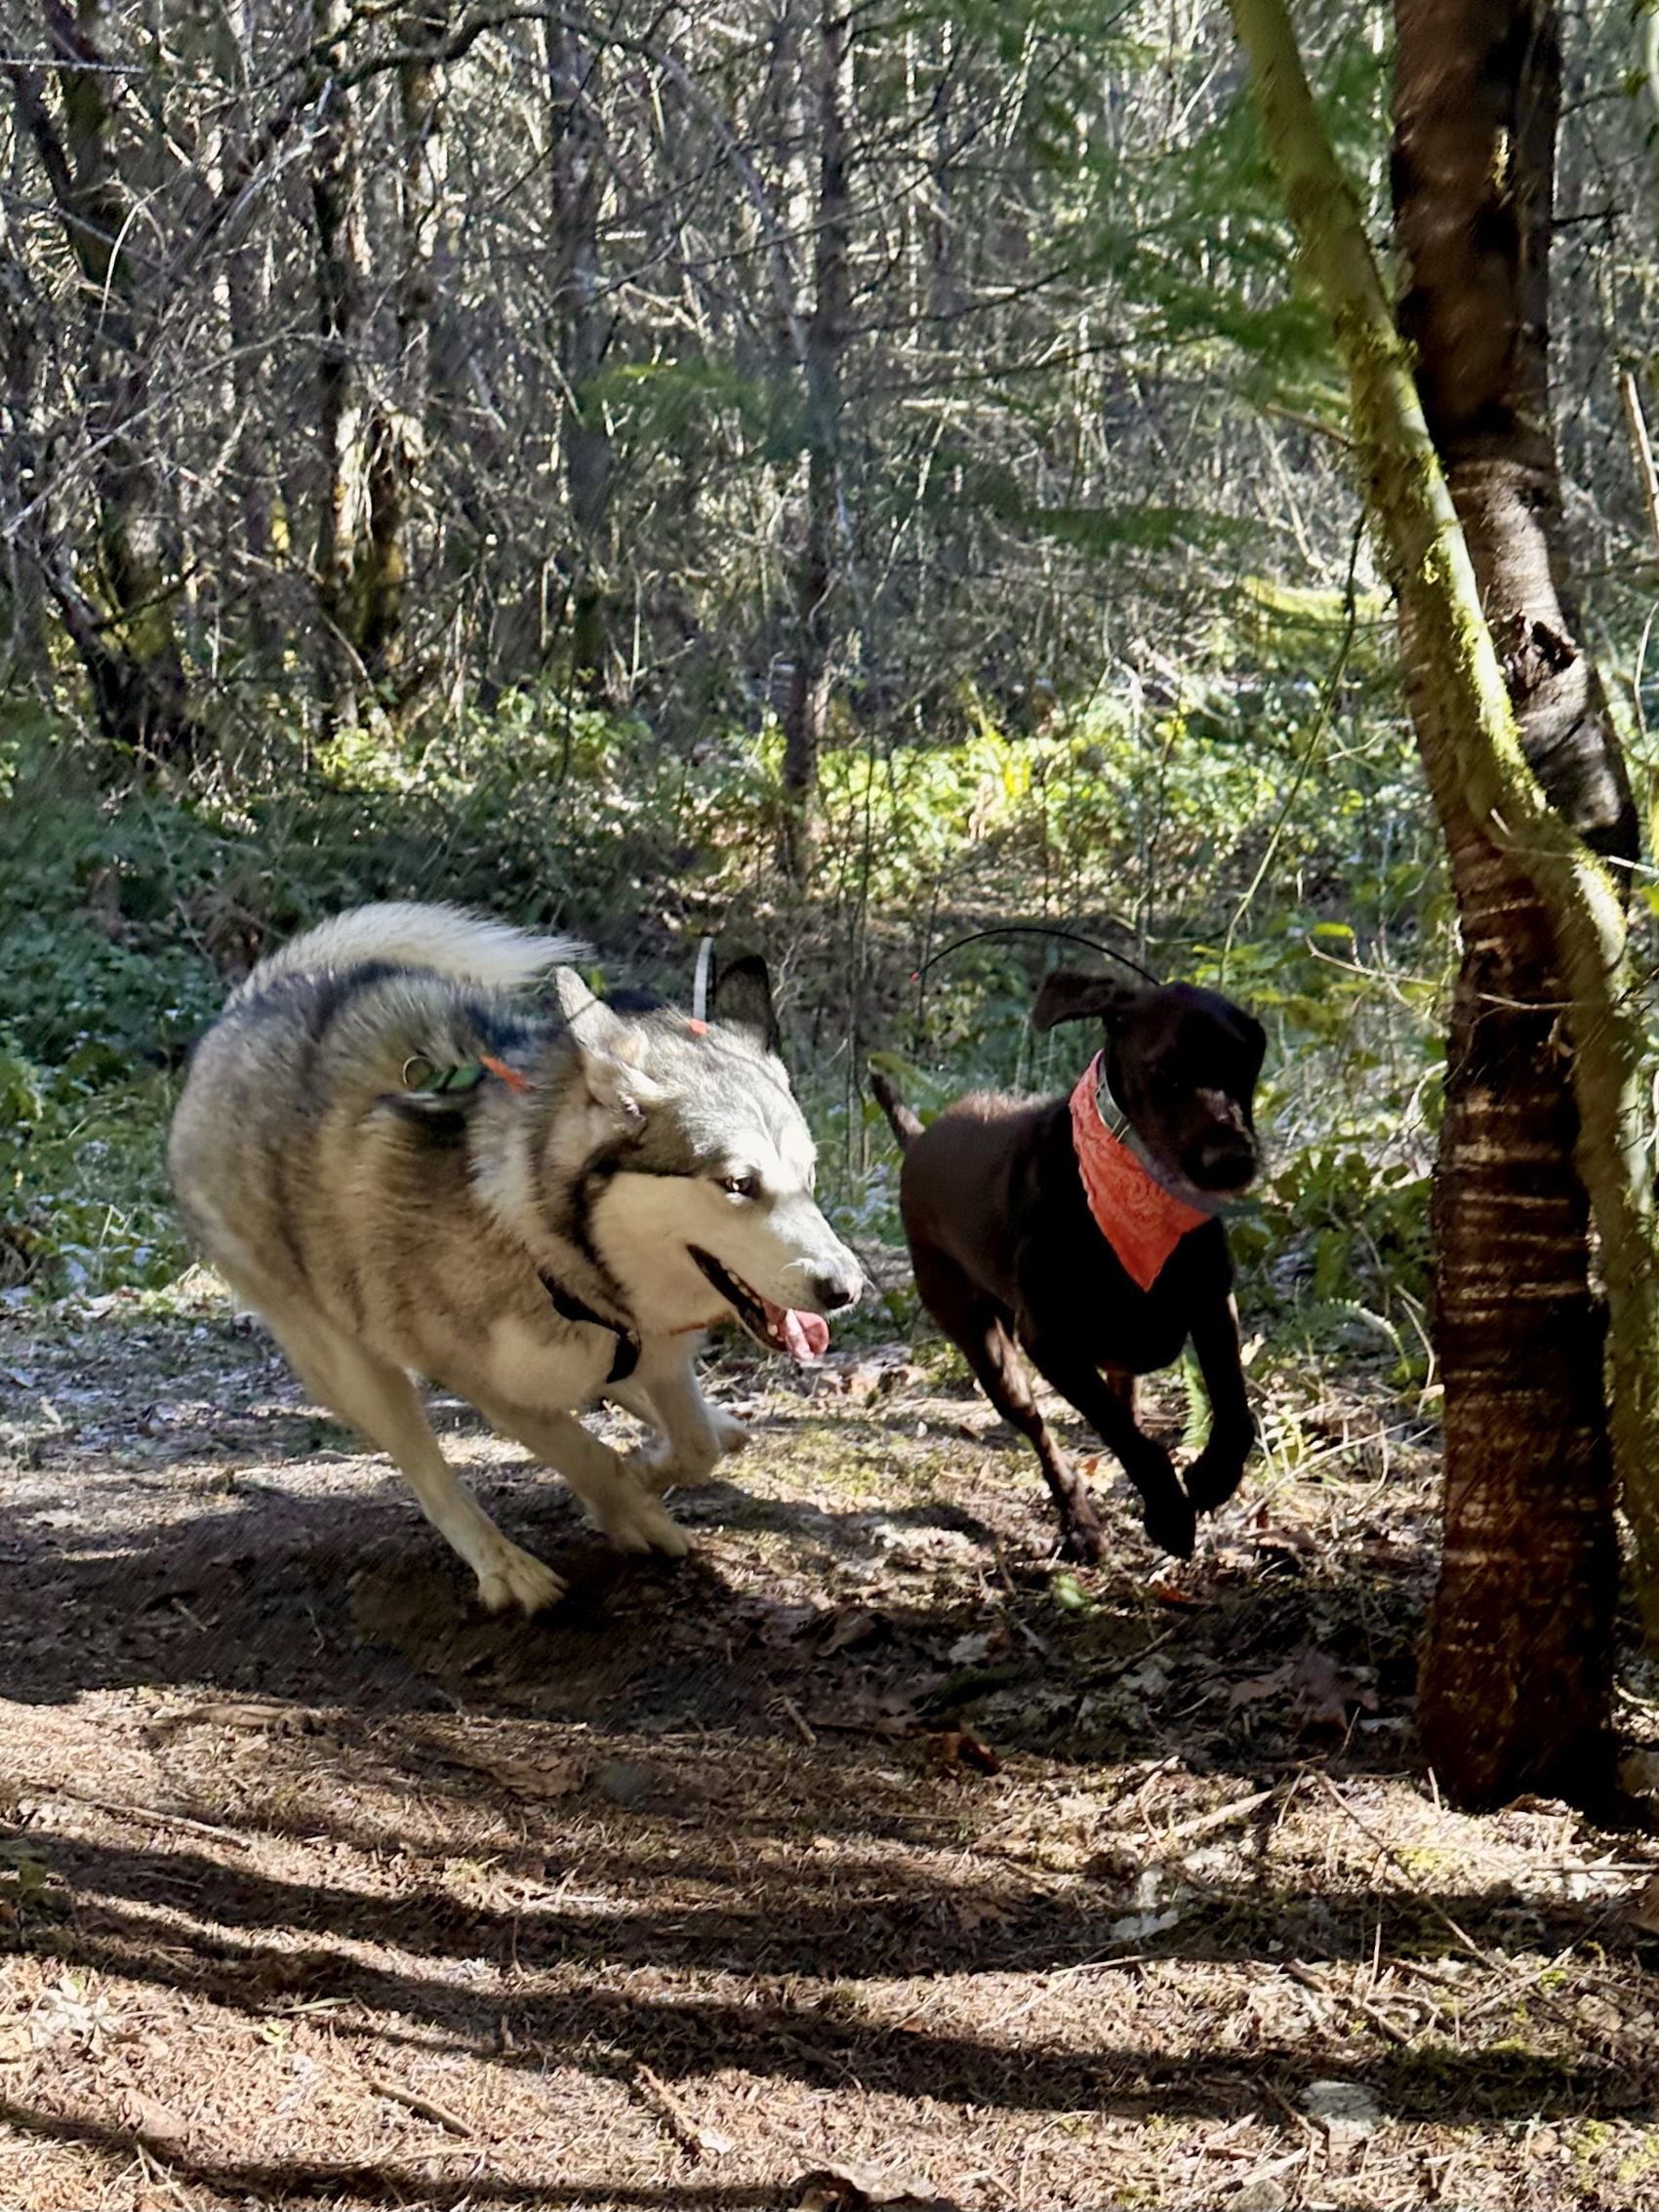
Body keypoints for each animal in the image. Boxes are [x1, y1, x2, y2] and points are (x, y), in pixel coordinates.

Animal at [875, 968, 1265, 1556]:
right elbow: (1126, 1436)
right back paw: (1080, 1521)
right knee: (1043, 1431)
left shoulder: (1212, 1298)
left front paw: (1213, 1476)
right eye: (1164, 1071)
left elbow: (1235, 1408)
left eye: (1247, 1064)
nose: (1234, 1161)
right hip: (986, 1346)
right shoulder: (1050, 1340)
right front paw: (1170, 1512)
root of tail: (918, 1140)